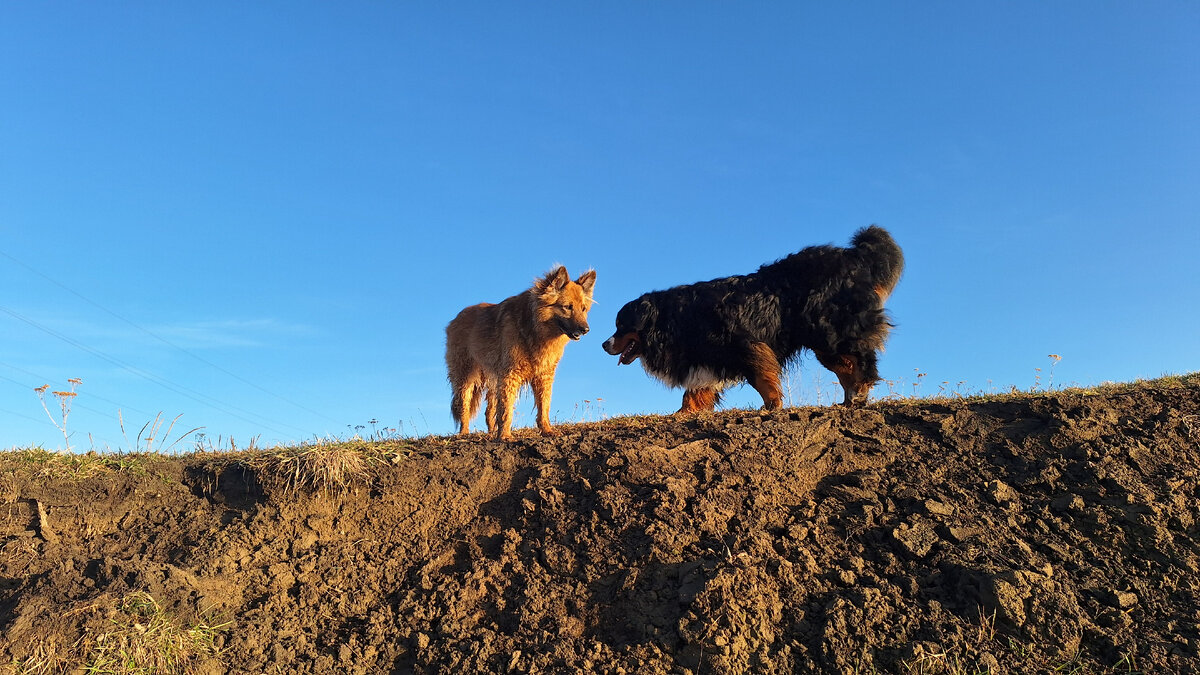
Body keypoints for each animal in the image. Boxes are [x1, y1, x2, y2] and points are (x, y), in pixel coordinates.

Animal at [446, 265, 595, 439]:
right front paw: (505, 436)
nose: (586, 329)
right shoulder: (510, 375)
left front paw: (547, 430)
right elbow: (506, 410)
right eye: (567, 307)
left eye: (583, 309)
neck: (535, 329)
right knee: (464, 406)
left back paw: (491, 433)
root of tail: (456, 318)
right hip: (465, 377)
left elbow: (544, 406)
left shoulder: (544, 376)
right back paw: (464, 433)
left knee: (489, 410)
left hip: (493, 380)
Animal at [604, 225, 902, 410]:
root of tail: (854, 255)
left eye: (621, 326)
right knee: (846, 366)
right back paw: (851, 398)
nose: (605, 344)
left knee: (860, 360)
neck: (672, 320)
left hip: (829, 332)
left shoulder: (743, 344)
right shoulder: (708, 357)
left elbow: (761, 378)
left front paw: (772, 405)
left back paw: (859, 390)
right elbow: (699, 389)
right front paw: (686, 411)